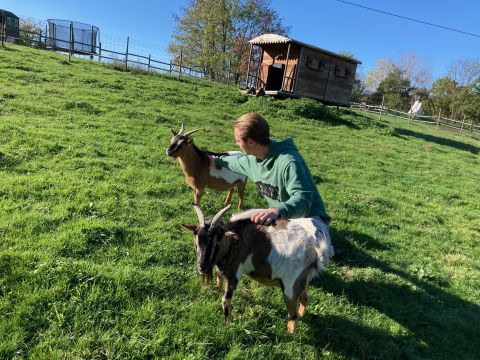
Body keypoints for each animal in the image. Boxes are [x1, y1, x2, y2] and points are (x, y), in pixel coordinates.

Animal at [182, 204, 336, 334]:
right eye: (196, 237)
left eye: (217, 239)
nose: (201, 267)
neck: (234, 241)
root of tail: (316, 252)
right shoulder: (223, 269)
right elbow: (219, 280)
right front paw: (216, 291)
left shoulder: (235, 273)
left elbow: (225, 299)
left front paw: (228, 324)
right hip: (301, 282)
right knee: (304, 299)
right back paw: (302, 316)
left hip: (290, 286)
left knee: (292, 314)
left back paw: (290, 335)